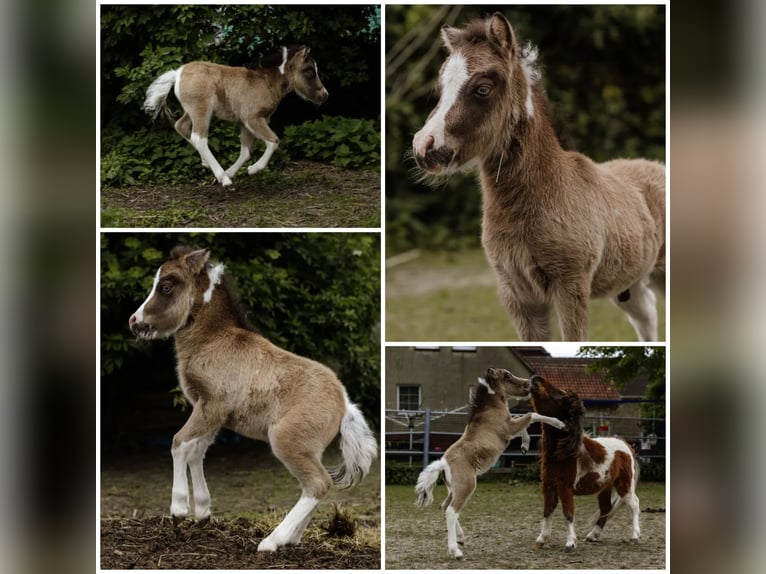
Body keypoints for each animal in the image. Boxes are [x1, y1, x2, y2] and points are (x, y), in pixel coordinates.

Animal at [128, 248, 378, 552]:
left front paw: (178, 511)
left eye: (166, 286)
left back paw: (271, 541)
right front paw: (202, 513)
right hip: (309, 449)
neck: (214, 340)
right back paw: (290, 538)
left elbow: (179, 443)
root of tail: (345, 403)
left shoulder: (212, 405)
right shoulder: (212, 412)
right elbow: (196, 450)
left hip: (286, 440)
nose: (134, 322)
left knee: (318, 483)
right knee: (316, 485)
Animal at [142, 47, 328, 187]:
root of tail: (177, 73)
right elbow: (273, 141)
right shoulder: (253, 118)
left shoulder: (245, 123)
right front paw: (252, 170)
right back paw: (222, 178)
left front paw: (231, 172)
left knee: (181, 126)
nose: (325, 95)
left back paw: (208, 164)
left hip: (192, 111)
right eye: (309, 71)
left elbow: (245, 152)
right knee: (199, 138)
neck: (265, 82)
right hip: (201, 111)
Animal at [414, 13, 664, 342]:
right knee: (646, 316)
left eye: (482, 88)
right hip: (629, 282)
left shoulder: (571, 287)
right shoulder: (517, 294)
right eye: (441, 87)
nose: (423, 147)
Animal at [416, 368, 568, 564]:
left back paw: (461, 538)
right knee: (451, 511)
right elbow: (531, 416)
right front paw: (560, 424)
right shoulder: (508, 428)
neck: (490, 409)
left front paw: (525, 446)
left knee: (444, 506)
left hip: (454, 489)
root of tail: (443, 462)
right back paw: (455, 551)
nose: (528, 384)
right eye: (508, 376)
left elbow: (522, 420)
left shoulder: (510, 426)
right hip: (467, 486)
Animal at [528, 374, 640, 552]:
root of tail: (626, 446)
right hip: (605, 487)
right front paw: (541, 539)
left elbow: (568, 513)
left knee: (634, 504)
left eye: (561, 395)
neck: (563, 451)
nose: (535, 378)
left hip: (624, 484)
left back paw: (634, 536)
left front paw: (570, 543)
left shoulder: (565, 487)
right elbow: (547, 511)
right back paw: (593, 536)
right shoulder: (548, 486)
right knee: (606, 508)